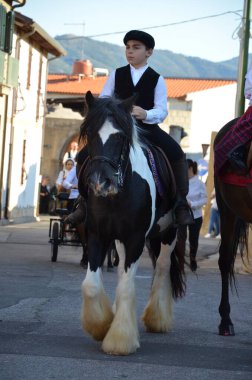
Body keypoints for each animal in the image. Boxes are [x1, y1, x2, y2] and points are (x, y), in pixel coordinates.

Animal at [79, 90, 185, 354]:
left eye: (120, 137)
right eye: (90, 134)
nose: (100, 182)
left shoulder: (136, 238)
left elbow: (127, 286)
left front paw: (120, 339)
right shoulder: (98, 235)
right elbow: (91, 285)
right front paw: (101, 324)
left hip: (168, 234)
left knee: (162, 268)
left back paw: (157, 318)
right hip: (119, 240)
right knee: (121, 271)